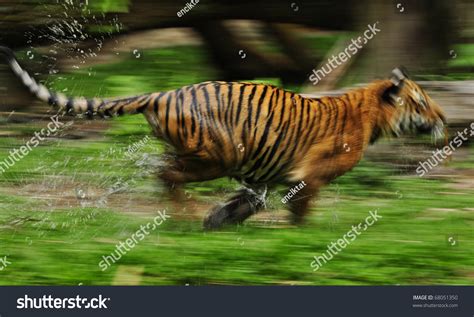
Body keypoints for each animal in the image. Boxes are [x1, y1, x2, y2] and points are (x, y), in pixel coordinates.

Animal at [0, 46, 446, 227]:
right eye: (422, 102)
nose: (443, 117)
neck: (371, 114)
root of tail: (164, 92)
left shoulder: (265, 174)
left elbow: (249, 203)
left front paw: (218, 222)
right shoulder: (310, 175)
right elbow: (300, 208)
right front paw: (300, 236)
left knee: (162, 170)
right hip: (219, 154)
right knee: (166, 174)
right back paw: (181, 217)